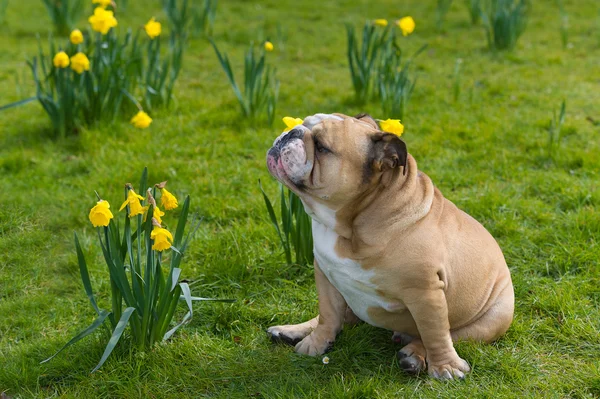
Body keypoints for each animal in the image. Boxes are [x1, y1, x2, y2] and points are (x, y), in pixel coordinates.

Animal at [264, 113, 512, 382]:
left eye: (321, 146)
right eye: (302, 123)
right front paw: (316, 343)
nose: (291, 133)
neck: (353, 225)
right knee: (340, 317)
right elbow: (328, 314)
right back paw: (290, 330)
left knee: (449, 335)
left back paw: (414, 355)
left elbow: (435, 331)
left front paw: (445, 367)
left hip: (491, 320)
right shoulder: (325, 274)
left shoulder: (425, 292)